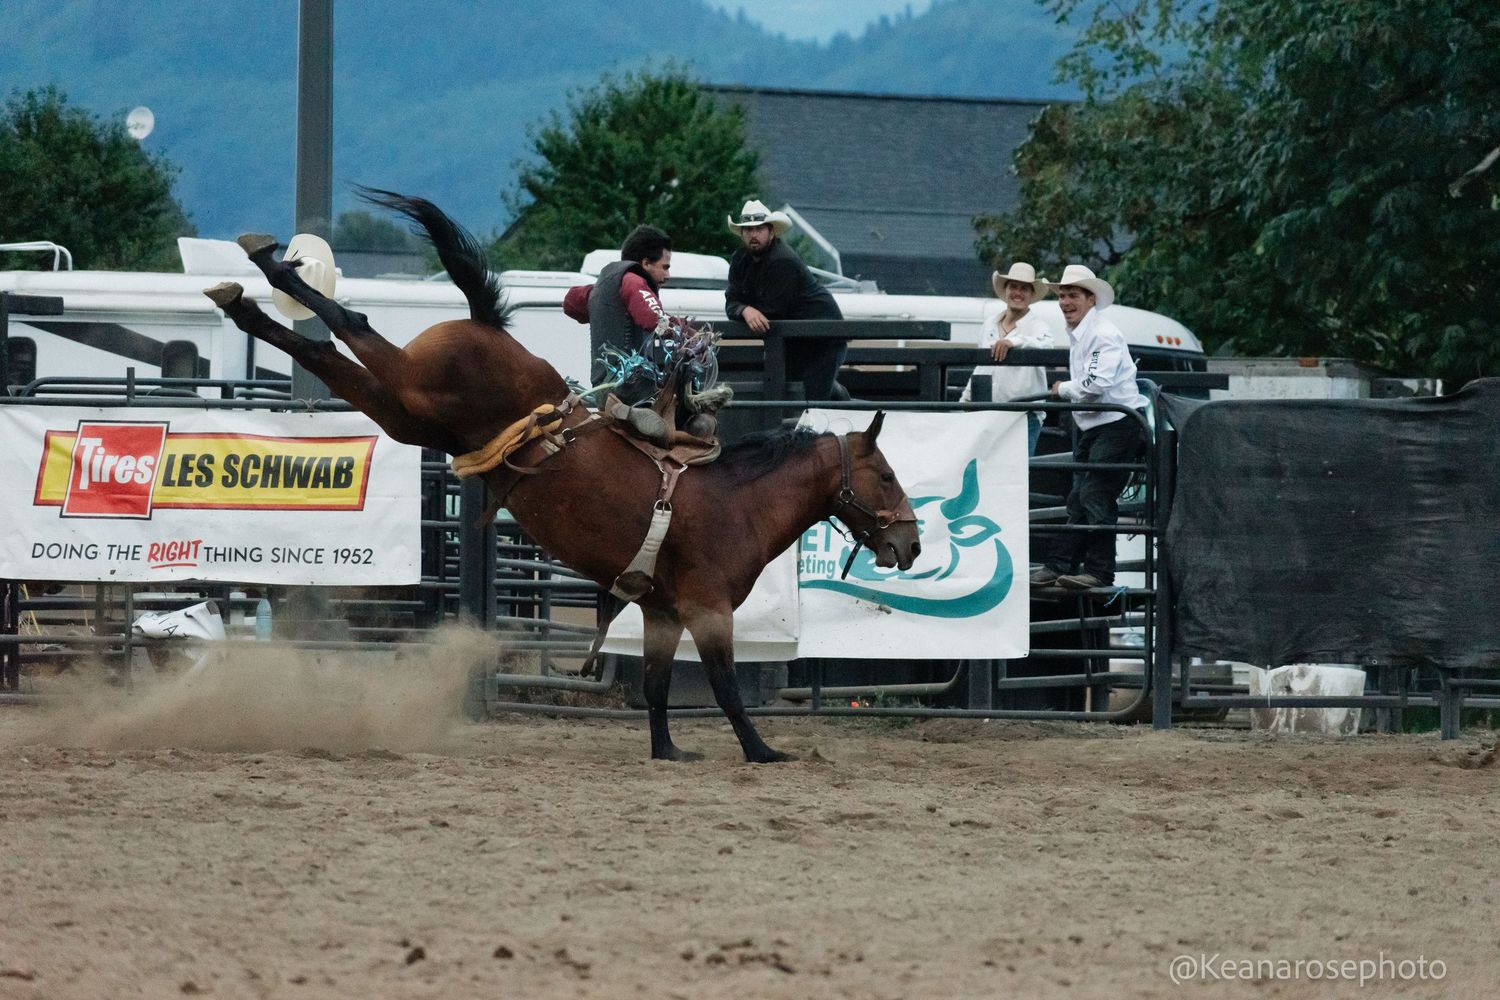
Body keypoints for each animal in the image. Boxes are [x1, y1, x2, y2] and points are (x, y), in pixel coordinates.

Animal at [202, 189, 921, 763]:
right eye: (886, 473)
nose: (910, 543)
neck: (737, 500)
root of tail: (488, 328)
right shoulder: (708, 610)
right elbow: (726, 688)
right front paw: (763, 751)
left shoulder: (661, 612)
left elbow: (657, 687)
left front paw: (668, 751)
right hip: (419, 390)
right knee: (353, 323)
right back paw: (264, 271)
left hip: (406, 411)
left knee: (331, 350)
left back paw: (248, 294)